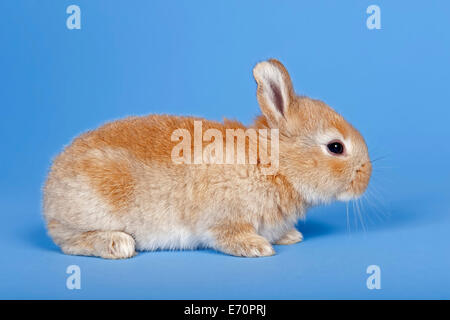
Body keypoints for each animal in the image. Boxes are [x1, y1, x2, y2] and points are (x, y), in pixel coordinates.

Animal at [43, 59, 372, 260]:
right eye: (335, 147)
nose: (366, 176)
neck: (274, 164)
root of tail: (49, 194)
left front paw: (290, 236)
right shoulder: (224, 219)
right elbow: (228, 235)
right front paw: (258, 247)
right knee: (69, 242)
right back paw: (118, 244)